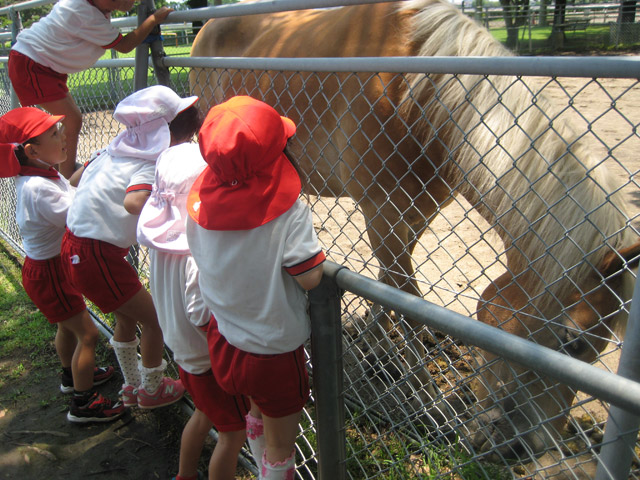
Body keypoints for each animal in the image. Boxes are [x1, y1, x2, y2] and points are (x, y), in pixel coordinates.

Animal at [190, 0, 640, 460]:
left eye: (597, 349)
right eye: (573, 342)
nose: (527, 448)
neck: (416, 91)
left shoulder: (418, 212)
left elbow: (388, 285)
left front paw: (369, 350)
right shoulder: (381, 212)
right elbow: (408, 303)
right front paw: (432, 407)